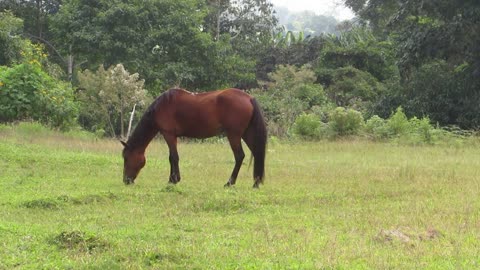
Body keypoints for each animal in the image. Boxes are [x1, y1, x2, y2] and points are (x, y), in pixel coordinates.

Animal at [120, 88, 268, 188]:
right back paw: (256, 183)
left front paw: (173, 180)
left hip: (234, 135)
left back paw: (229, 182)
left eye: (126, 158)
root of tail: (249, 98)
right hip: (246, 134)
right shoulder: (172, 136)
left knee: (239, 156)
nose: (126, 180)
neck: (161, 107)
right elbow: (172, 157)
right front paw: (173, 179)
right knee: (257, 154)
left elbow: (173, 157)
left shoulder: (169, 134)